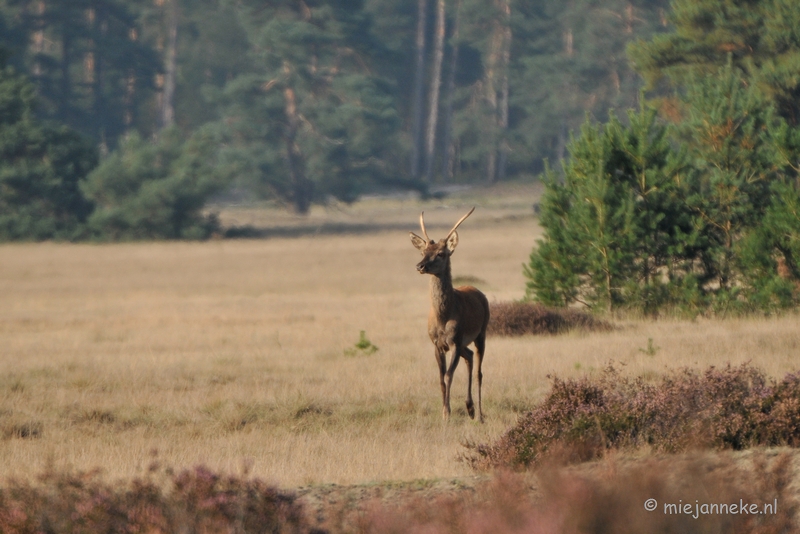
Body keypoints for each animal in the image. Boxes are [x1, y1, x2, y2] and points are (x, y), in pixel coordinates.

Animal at [412, 207, 488, 426]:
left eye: (441, 253)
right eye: (423, 252)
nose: (420, 266)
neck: (443, 318)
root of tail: (478, 292)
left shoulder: (455, 341)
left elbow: (448, 376)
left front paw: (447, 413)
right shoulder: (437, 344)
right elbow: (440, 378)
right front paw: (445, 411)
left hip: (482, 333)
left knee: (479, 371)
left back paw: (479, 414)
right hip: (464, 343)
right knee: (469, 356)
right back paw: (470, 408)